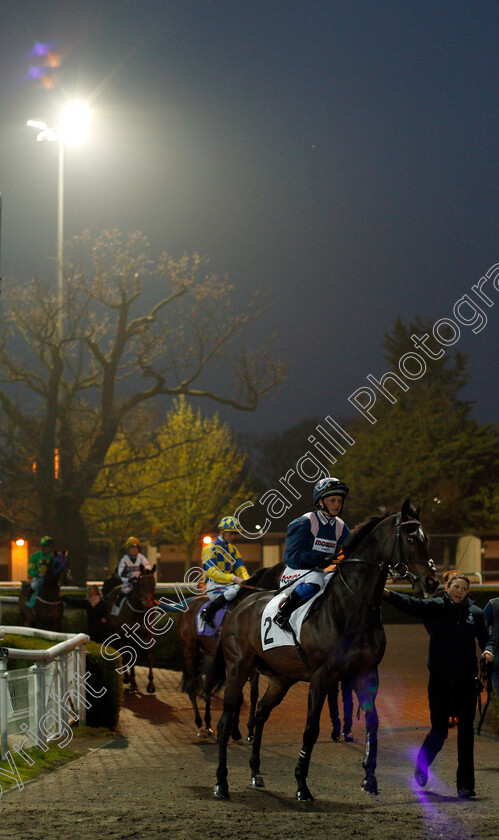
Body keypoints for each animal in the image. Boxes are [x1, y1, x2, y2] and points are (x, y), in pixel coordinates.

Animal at [104, 564, 159, 696]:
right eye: (141, 583)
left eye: (153, 584)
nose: (147, 602)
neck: (140, 612)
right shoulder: (130, 636)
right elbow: (132, 655)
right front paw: (133, 683)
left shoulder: (149, 635)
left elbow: (149, 655)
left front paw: (151, 685)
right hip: (114, 631)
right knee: (120, 650)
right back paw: (126, 677)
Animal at [178, 564, 284, 740]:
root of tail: (187, 606)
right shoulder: (234, 661)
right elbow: (238, 697)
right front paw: (235, 730)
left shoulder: (252, 663)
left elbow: (253, 695)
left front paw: (249, 730)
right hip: (189, 650)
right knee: (192, 685)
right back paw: (199, 724)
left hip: (209, 654)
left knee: (208, 686)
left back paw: (208, 724)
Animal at [209, 498, 440, 800]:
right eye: (411, 538)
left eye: (427, 539)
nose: (432, 582)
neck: (351, 606)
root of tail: (238, 608)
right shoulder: (322, 677)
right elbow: (311, 730)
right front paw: (301, 785)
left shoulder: (367, 674)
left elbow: (373, 723)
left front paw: (369, 778)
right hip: (238, 669)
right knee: (224, 723)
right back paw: (221, 783)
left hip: (281, 679)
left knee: (260, 713)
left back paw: (256, 772)